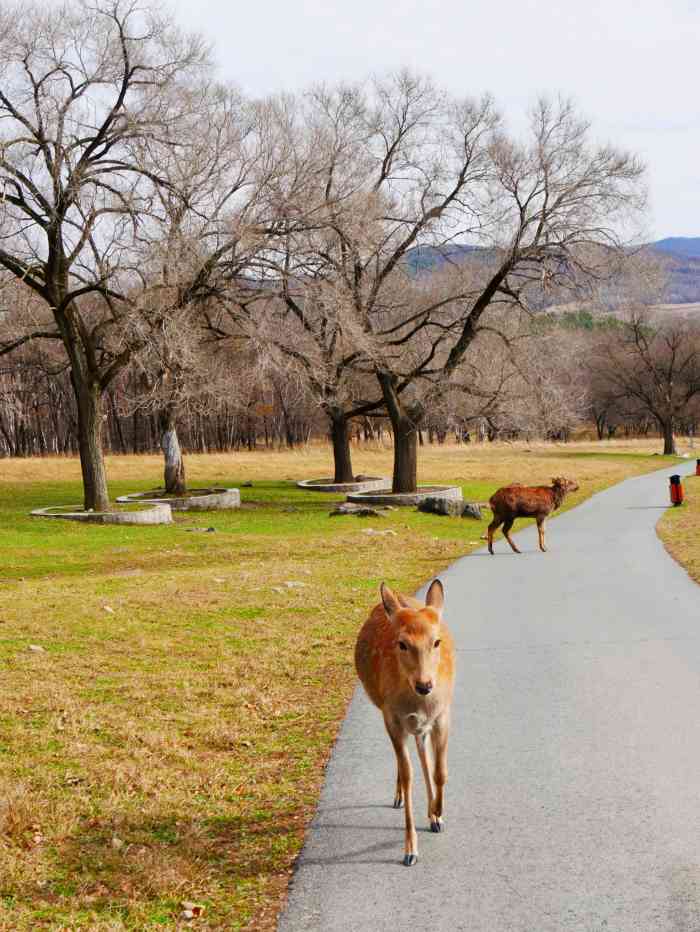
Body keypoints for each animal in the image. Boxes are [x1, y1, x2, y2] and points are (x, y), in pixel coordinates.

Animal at [352, 580, 456, 872]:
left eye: (436, 641)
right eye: (401, 643)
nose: (425, 685)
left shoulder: (443, 714)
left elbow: (440, 771)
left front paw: (438, 812)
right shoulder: (392, 717)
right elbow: (409, 775)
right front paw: (410, 850)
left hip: (421, 724)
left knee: (422, 753)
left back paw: (433, 815)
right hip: (389, 714)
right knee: (406, 761)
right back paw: (399, 796)